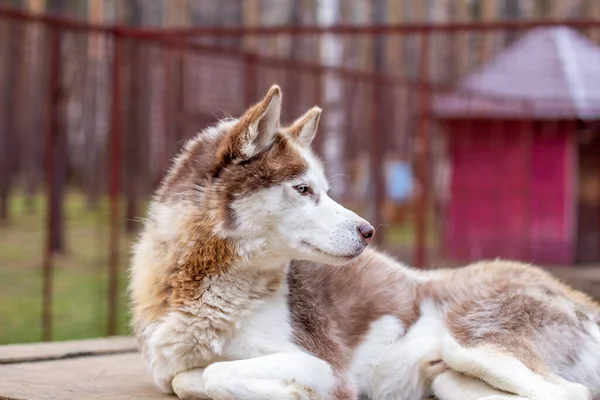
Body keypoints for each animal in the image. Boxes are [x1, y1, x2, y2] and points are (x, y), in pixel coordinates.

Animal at [130, 85, 600, 400]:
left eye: (325, 189)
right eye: (303, 189)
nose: (368, 231)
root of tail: (574, 294)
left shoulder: (321, 365)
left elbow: (215, 374)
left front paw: (290, 392)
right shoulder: (171, 370)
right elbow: (187, 379)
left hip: (474, 344)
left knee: (570, 393)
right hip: (453, 379)